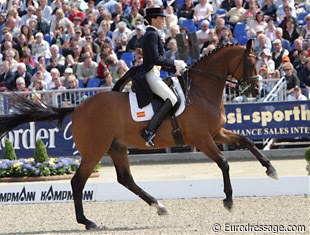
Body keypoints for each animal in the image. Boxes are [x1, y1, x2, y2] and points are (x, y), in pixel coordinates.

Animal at [0, 41, 276, 230]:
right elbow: (224, 163)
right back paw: (88, 222)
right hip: (94, 152)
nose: (255, 90)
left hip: (117, 148)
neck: (201, 90)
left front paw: (271, 170)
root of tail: (77, 108)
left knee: (125, 180)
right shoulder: (202, 139)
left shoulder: (217, 133)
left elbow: (247, 141)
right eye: (251, 63)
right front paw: (228, 201)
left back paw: (159, 206)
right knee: (78, 183)